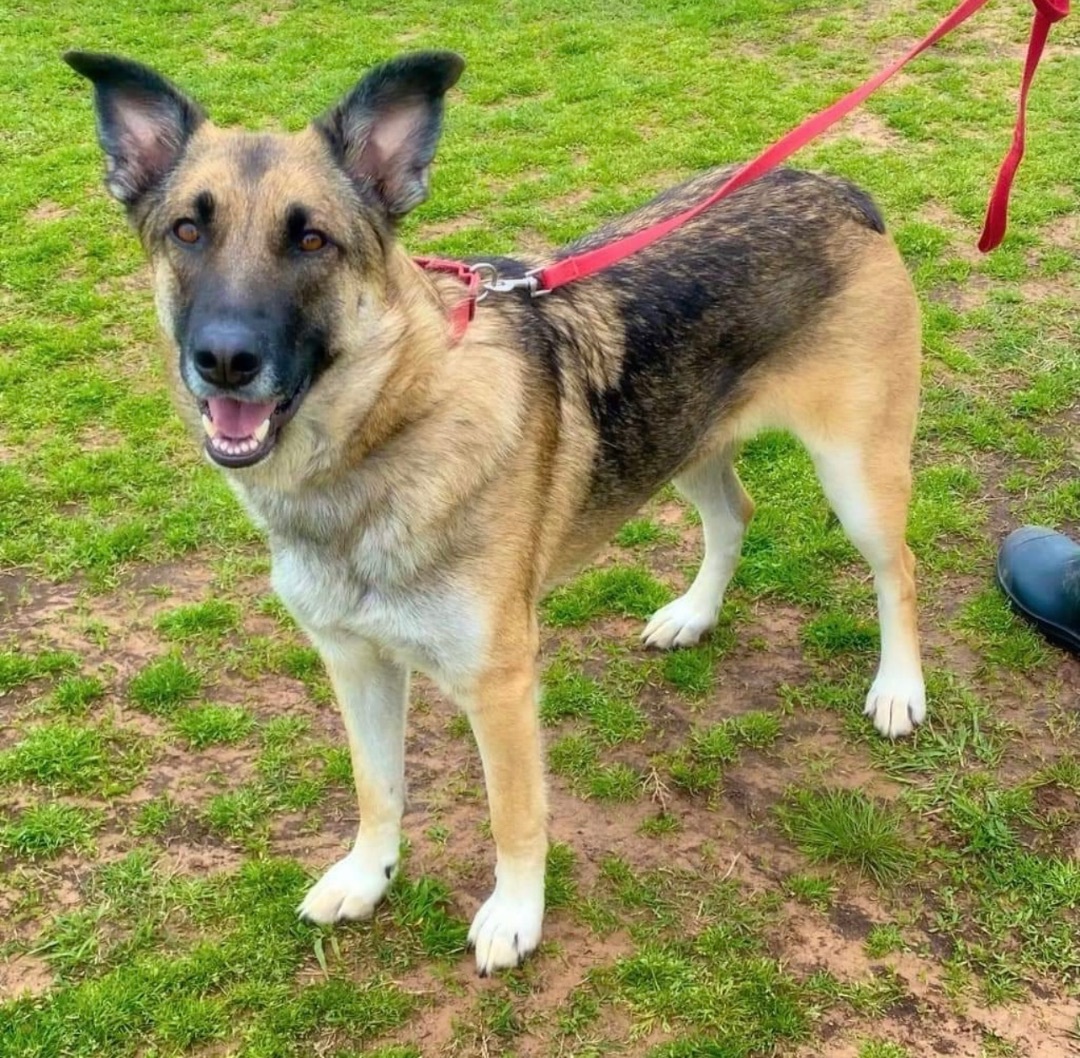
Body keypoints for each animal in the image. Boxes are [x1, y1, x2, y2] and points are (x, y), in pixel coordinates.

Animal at [67, 51, 928, 975]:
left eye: (312, 240)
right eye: (187, 233)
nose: (225, 359)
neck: (382, 437)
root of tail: (835, 186)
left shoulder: (499, 684)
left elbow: (515, 816)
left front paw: (516, 916)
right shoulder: (354, 661)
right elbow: (378, 786)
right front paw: (367, 876)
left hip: (855, 473)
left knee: (897, 571)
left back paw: (898, 689)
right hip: (684, 442)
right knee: (735, 513)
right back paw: (694, 615)